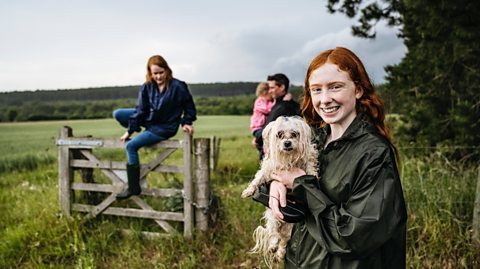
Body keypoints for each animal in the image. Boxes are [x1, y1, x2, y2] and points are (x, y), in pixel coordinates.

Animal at [242, 115, 316, 264]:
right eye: (279, 134)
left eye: (294, 134)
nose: (287, 143)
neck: (288, 159)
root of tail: (283, 224)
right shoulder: (269, 169)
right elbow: (258, 178)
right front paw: (248, 191)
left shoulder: (307, 159)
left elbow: (309, 166)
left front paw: (313, 174)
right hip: (273, 216)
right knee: (274, 234)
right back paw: (272, 246)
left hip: (289, 229)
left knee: (283, 241)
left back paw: (280, 253)